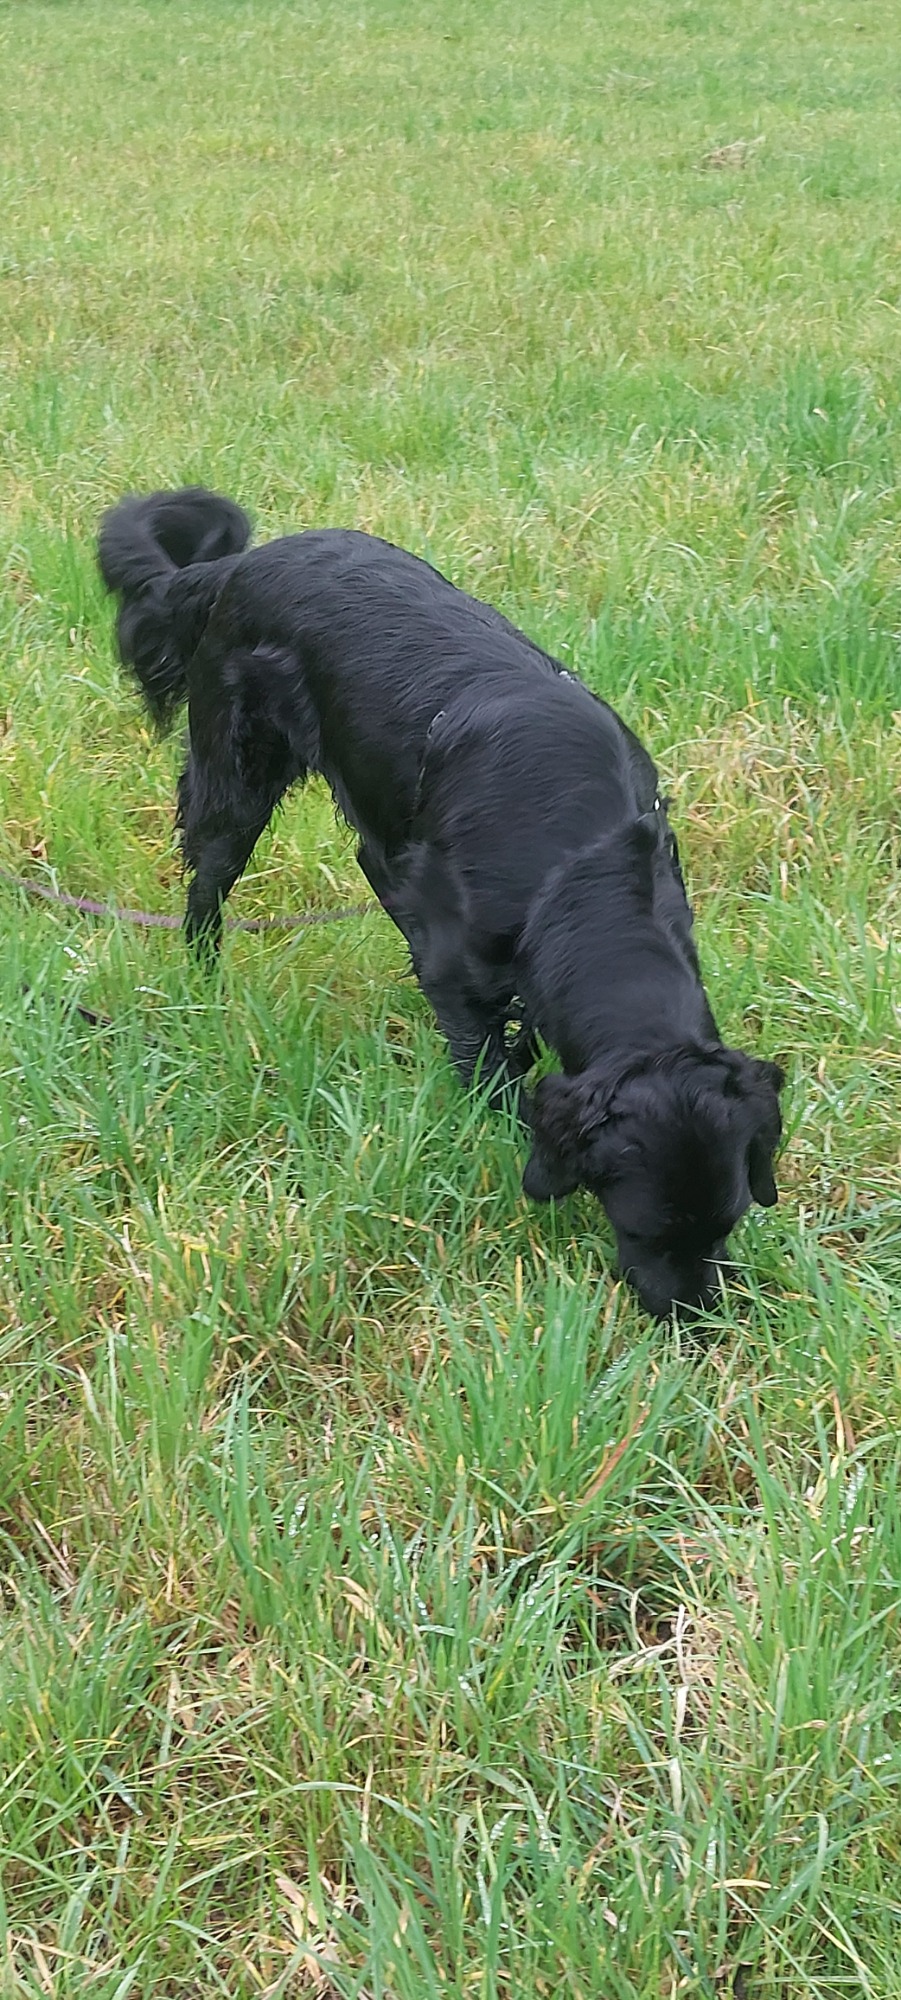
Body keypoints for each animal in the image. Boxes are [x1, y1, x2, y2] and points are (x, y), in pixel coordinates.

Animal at [98, 486, 784, 1319]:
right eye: (643, 1229)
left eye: (728, 1220)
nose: (693, 1320)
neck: (580, 866)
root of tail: (239, 565)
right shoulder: (457, 964)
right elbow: (492, 1075)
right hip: (236, 773)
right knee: (208, 879)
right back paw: (201, 978)